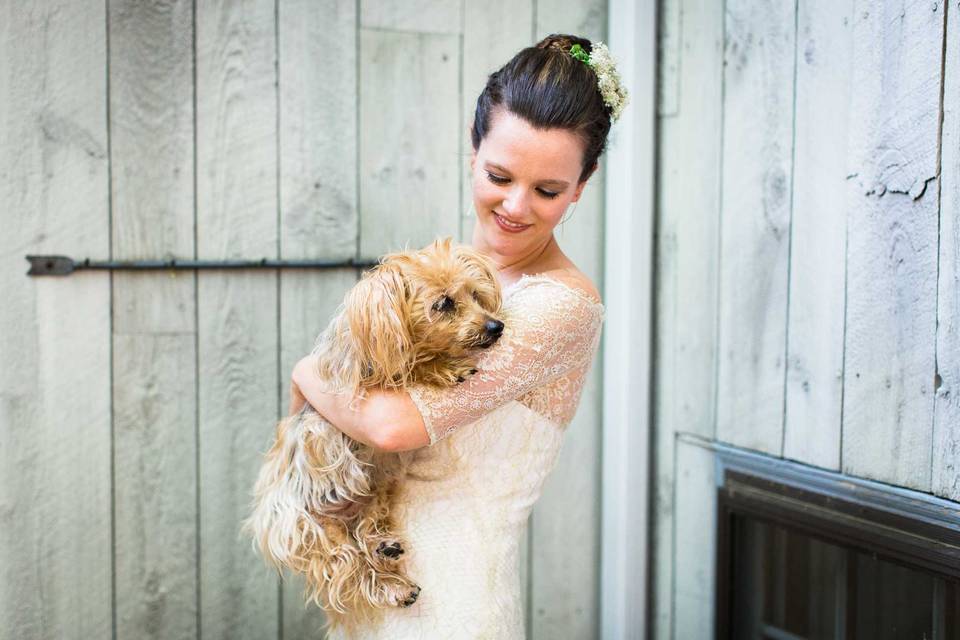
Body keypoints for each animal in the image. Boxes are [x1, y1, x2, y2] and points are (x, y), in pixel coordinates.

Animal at [244, 239, 506, 632]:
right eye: (443, 303)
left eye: (476, 294)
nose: (496, 326)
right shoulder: (366, 382)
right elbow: (413, 365)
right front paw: (445, 366)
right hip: (311, 530)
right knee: (349, 564)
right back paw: (391, 585)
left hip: (377, 489)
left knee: (367, 528)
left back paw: (385, 546)